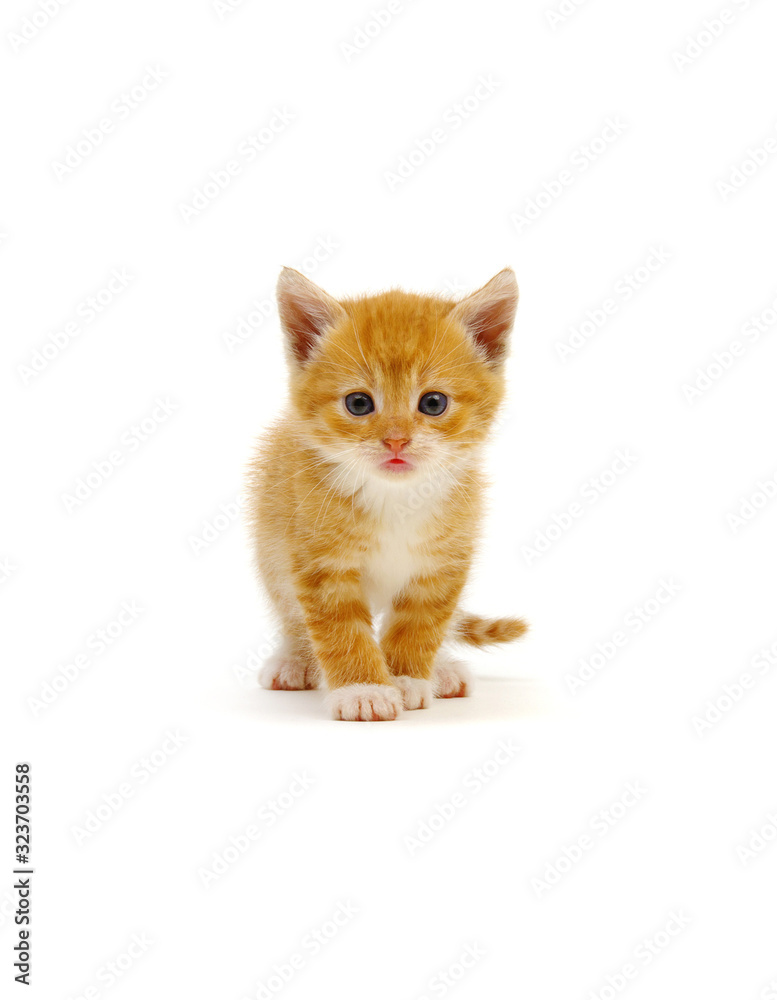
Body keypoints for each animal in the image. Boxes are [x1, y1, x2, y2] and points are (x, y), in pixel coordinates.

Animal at [249, 266, 528, 720]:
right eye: (359, 403)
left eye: (433, 403)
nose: (396, 441)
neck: (395, 497)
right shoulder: (317, 559)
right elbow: (340, 628)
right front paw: (363, 690)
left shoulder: (445, 561)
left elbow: (422, 623)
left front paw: (406, 678)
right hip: (271, 545)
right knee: (290, 612)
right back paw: (294, 659)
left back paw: (442, 669)